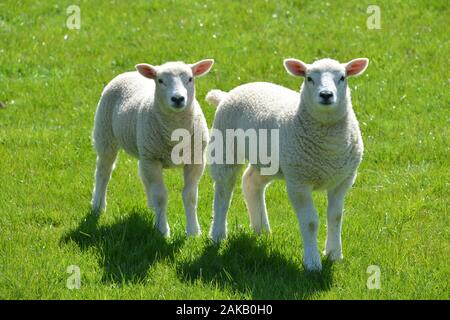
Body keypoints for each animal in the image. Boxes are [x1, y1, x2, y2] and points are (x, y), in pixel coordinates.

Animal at [91, 58, 214, 236]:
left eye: (190, 79)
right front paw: (162, 230)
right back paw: (98, 206)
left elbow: (190, 195)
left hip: (143, 149)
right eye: (160, 80)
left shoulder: (195, 159)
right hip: (105, 134)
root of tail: (130, 72)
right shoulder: (153, 159)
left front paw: (193, 231)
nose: (178, 98)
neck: (175, 132)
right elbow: (161, 196)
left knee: (142, 174)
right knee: (103, 172)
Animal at [206, 57, 368, 270]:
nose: (326, 95)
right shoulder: (298, 182)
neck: (328, 146)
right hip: (225, 147)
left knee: (250, 183)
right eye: (309, 78)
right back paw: (217, 235)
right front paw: (313, 263)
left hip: (268, 161)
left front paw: (334, 254)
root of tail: (226, 95)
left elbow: (335, 216)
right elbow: (310, 222)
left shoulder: (343, 180)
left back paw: (261, 229)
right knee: (223, 192)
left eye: (342, 77)